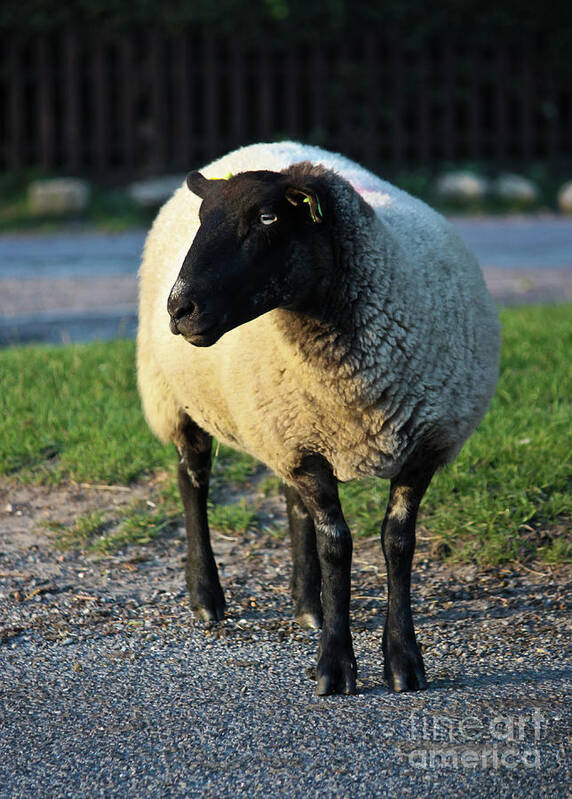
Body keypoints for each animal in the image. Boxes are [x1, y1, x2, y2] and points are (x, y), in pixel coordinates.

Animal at [137, 141, 500, 696]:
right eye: (203, 219)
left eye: (267, 217)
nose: (180, 308)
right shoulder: (303, 446)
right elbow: (337, 546)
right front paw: (335, 664)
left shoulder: (423, 443)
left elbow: (397, 542)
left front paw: (403, 660)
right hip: (179, 398)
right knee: (192, 479)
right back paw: (206, 598)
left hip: (286, 424)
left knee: (292, 503)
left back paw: (309, 603)